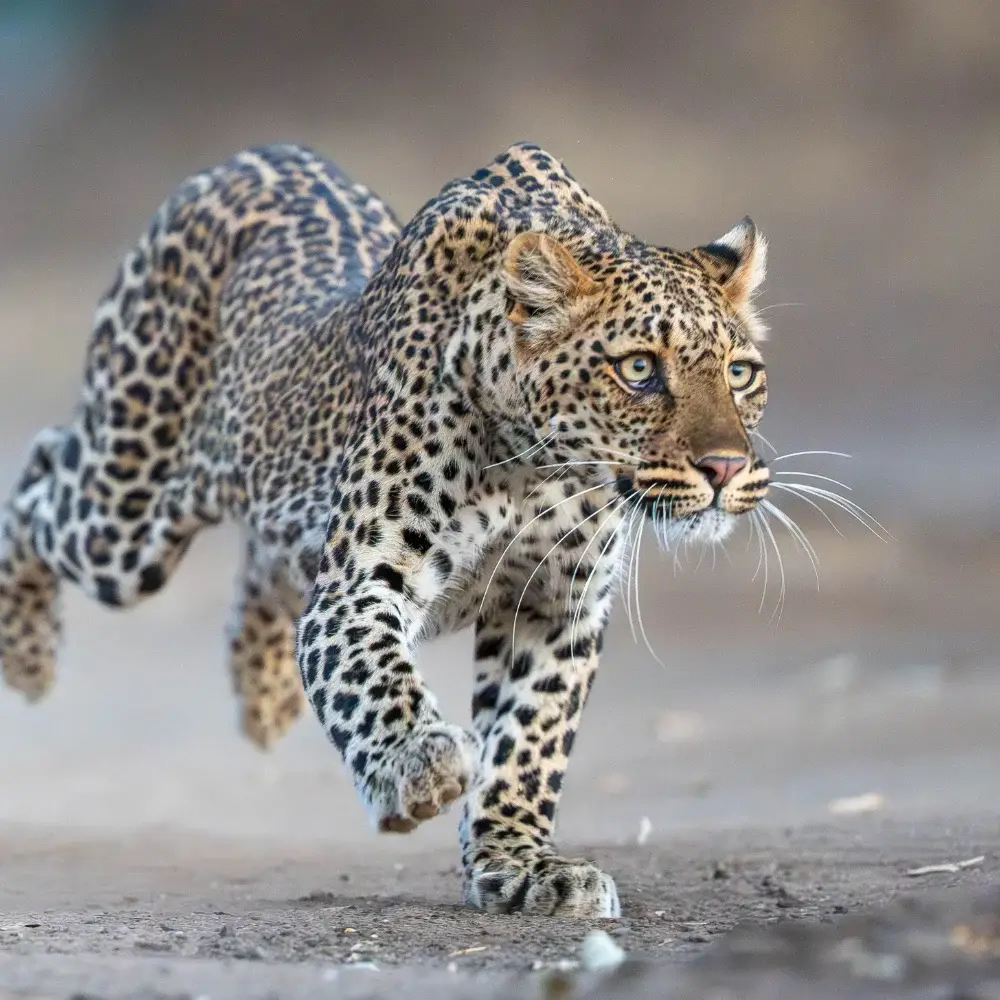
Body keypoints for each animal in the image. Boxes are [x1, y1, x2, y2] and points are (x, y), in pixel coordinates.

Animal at [0, 141, 771, 918]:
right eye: (639, 369)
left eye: (740, 373)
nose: (725, 467)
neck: (536, 465)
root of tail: (262, 152)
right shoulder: (363, 577)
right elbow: (370, 670)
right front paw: (416, 765)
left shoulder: (556, 604)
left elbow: (529, 738)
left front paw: (520, 862)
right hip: (126, 506)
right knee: (40, 475)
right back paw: (27, 655)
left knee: (265, 565)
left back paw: (264, 694)